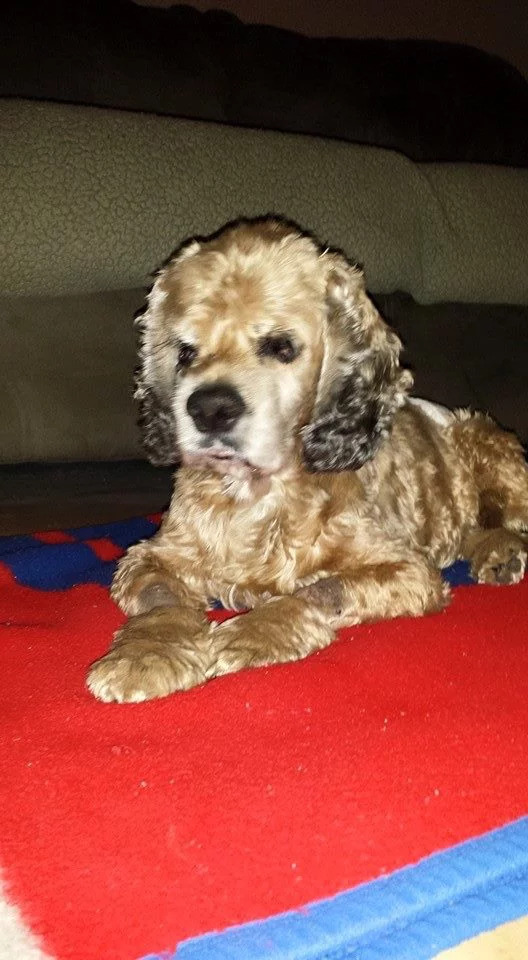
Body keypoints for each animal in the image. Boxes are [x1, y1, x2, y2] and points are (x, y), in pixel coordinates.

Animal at [87, 216, 528, 703]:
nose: (209, 409)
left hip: (487, 445)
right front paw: (146, 655)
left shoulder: (407, 569)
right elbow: (159, 599)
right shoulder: (150, 555)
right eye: (184, 351)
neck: (256, 493)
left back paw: (503, 551)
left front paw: (252, 632)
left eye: (281, 347)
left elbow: (322, 589)